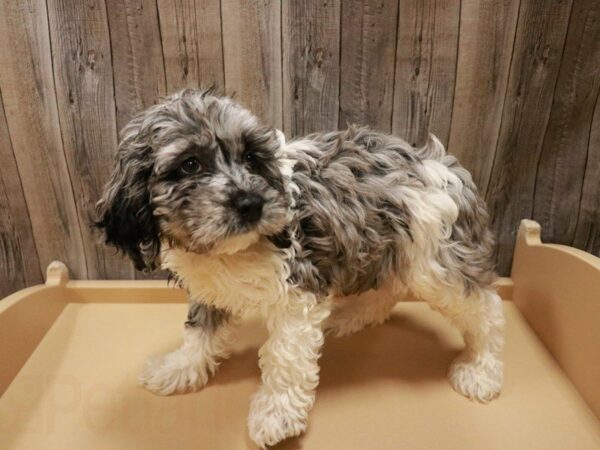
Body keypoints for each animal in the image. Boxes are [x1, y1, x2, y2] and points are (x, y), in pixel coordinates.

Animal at [96, 89, 504, 448]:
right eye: (190, 164)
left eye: (251, 158)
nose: (251, 203)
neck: (233, 251)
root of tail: (441, 164)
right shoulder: (208, 289)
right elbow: (199, 332)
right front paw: (179, 369)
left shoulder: (297, 293)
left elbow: (283, 357)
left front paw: (276, 415)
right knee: (389, 289)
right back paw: (353, 315)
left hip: (437, 264)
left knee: (487, 310)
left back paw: (482, 370)